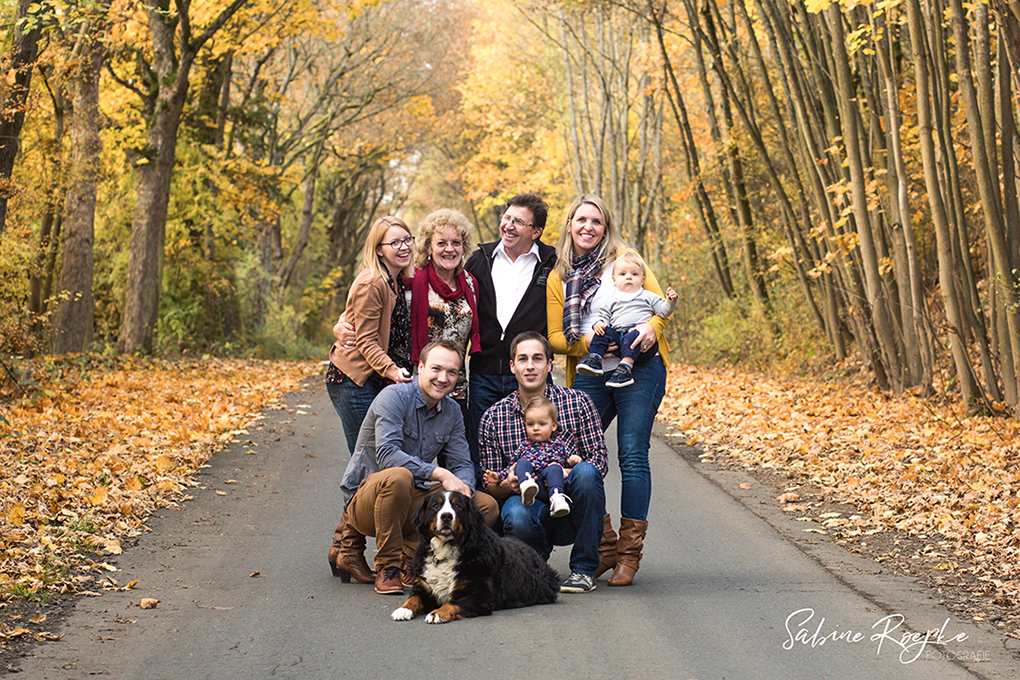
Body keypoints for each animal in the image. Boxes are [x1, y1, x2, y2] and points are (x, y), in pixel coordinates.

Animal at [393, 491, 563, 623]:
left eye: (457, 506)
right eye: (436, 506)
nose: (446, 516)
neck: (445, 551)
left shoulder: (480, 597)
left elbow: (452, 603)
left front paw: (437, 613)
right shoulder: (424, 587)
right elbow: (413, 599)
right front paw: (403, 609)